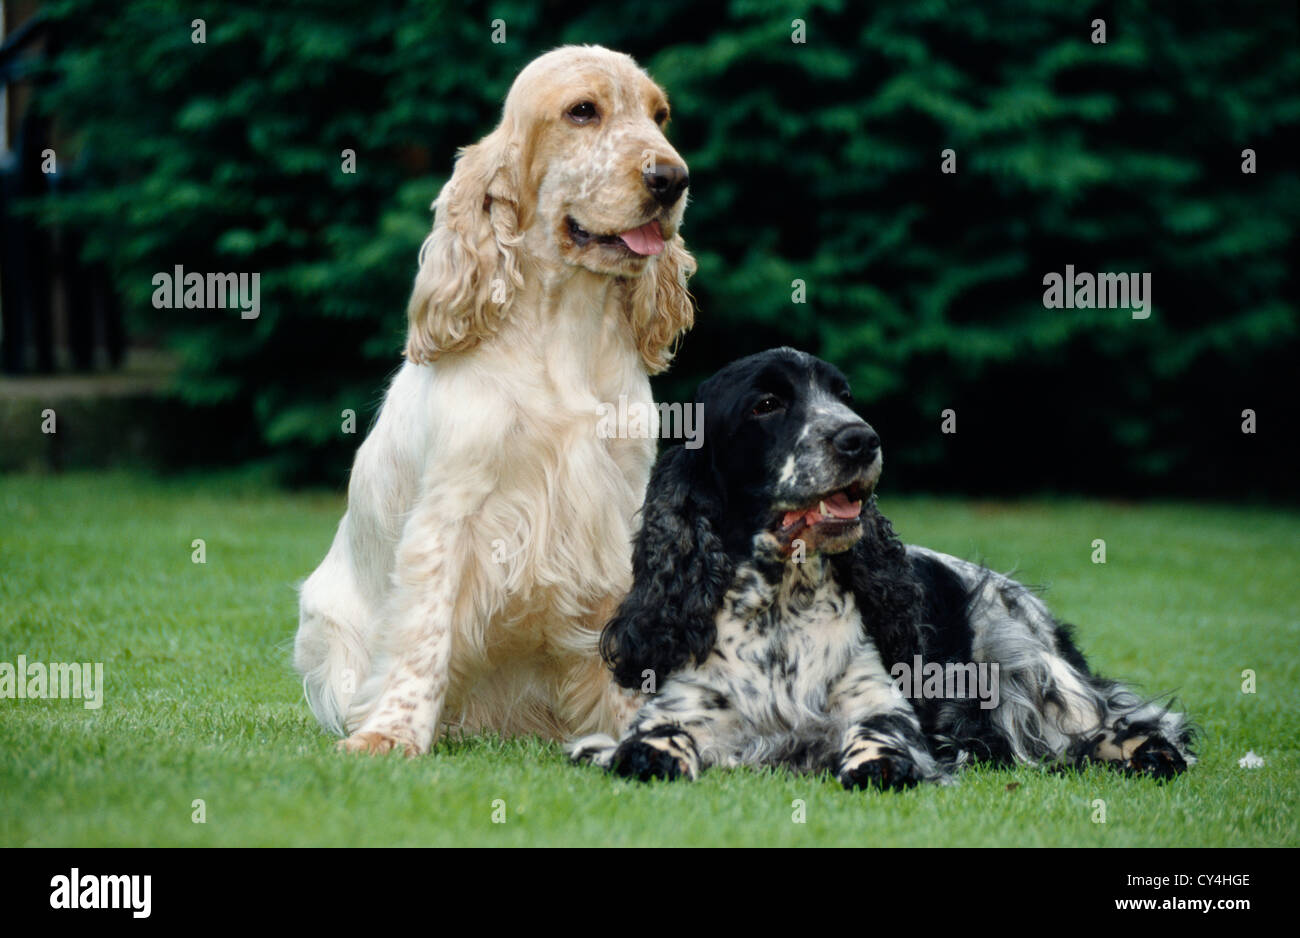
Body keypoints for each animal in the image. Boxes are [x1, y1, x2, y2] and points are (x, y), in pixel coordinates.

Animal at [572, 348, 1196, 784]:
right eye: (766, 404)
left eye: (844, 395)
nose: (860, 438)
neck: (782, 604)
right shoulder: (687, 702)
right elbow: (656, 736)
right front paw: (638, 754)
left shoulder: (878, 699)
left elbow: (883, 733)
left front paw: (882, 763)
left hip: (1020, 650)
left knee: (1129, 722)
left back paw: (1145, 754)